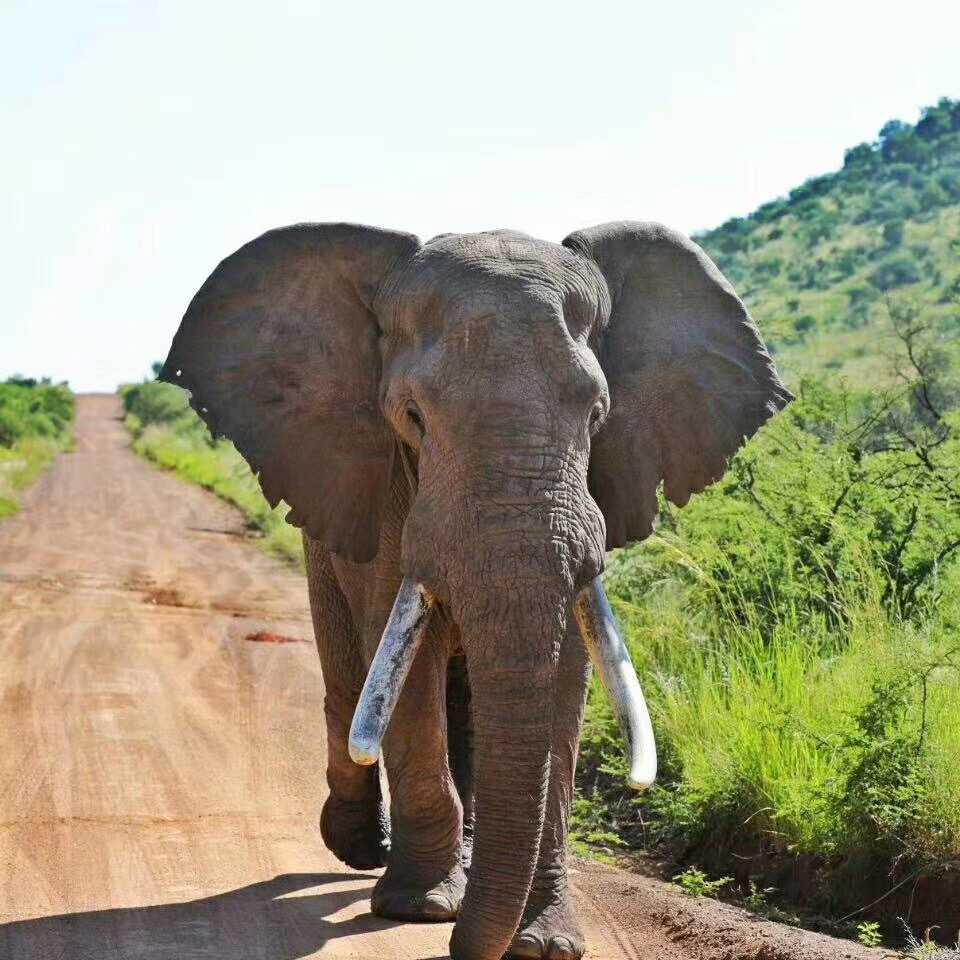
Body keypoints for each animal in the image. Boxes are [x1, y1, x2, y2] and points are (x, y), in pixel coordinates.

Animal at [161, 219, 792, 960]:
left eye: (597, 416)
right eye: (412, 416)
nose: (464, 947)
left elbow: (566, 676)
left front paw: (545, 943)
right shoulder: (391, 496)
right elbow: (407, 664)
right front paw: (422, 909)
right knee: (351, 678)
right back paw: (362, 846)